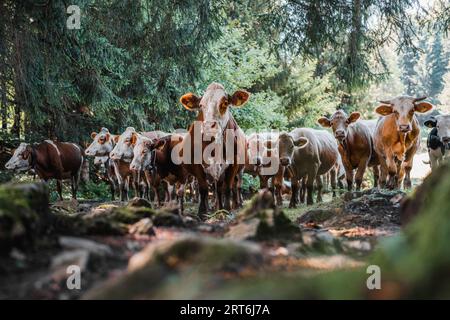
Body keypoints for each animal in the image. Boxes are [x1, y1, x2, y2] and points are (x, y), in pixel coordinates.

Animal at [179, 82, 250, 218]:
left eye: (225, 103)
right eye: (201, 105)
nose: (208, 126)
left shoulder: (233, 164)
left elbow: (227, 188)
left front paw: (226, 209)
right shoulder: (197, 165)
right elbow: (203, 189)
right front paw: (202, 212)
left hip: (238, 170)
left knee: (233, 186)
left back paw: (232, 205)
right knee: (215, 189)